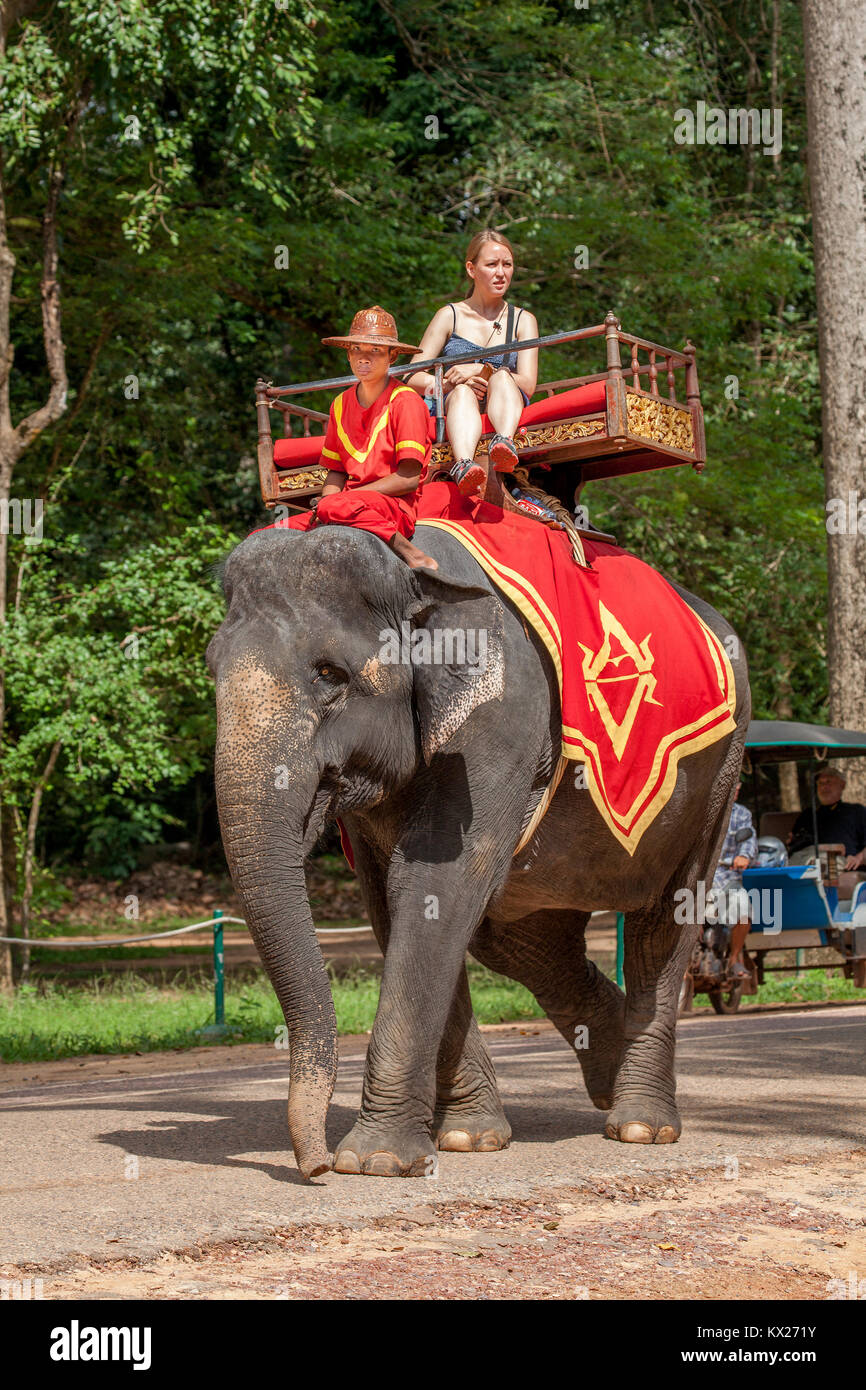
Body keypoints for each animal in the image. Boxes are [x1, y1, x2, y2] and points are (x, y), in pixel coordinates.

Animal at [206, 519, 750, 1179]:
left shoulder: (500, 724)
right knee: (523, 943)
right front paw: (466, 1138)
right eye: (211, 671)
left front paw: (375, 1161)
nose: (313, 1167)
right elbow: (397, 902)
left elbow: (434, 887)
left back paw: (641, 1125)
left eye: (330, 674)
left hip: (718, 778)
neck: (413, 566)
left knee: (665, 919)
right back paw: (607, 1069)